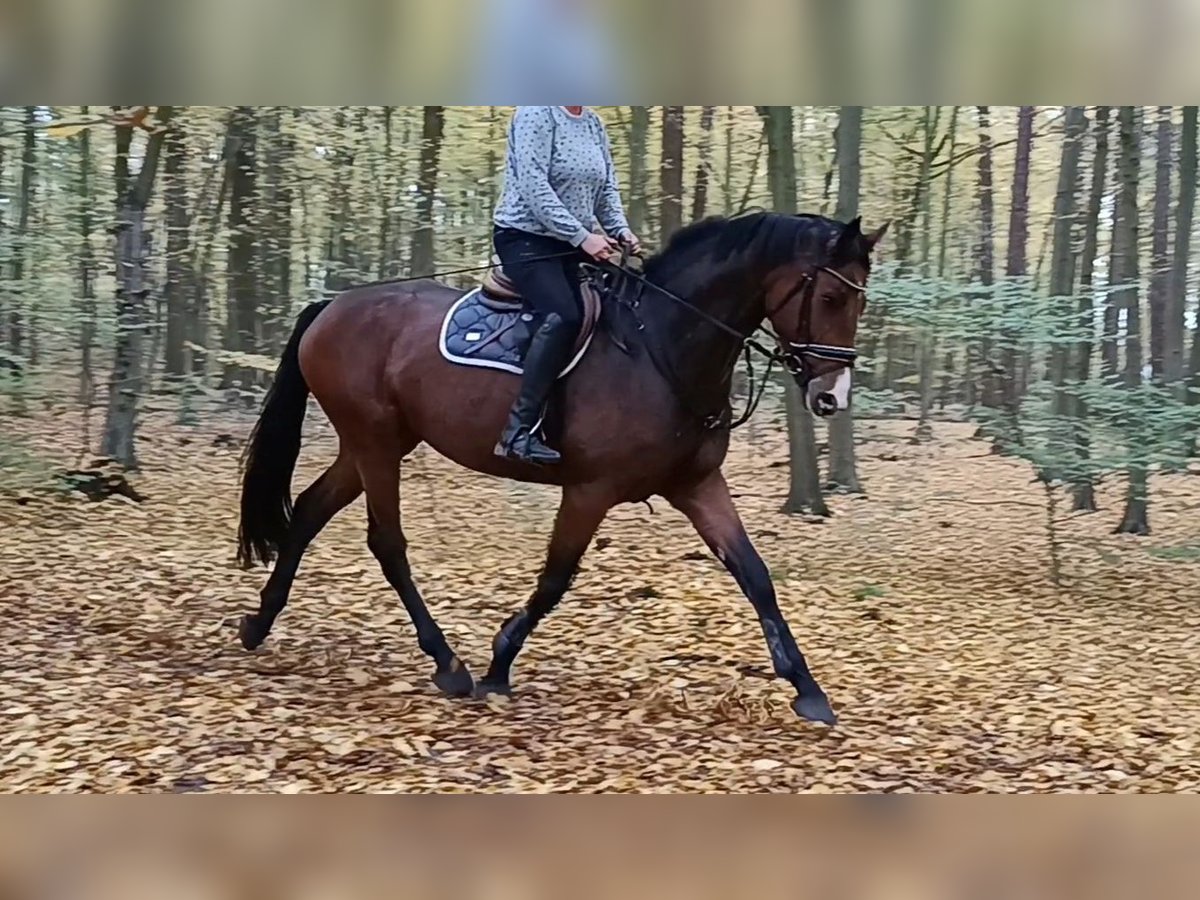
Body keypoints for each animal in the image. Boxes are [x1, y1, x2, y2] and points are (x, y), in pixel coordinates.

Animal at [238, 214, 888, 729]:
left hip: (372, 445)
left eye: (859, 301)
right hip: (374, 444)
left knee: (310, 512)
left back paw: (259, 623)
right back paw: (448, 663)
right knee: (387, 543)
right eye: (831, 299)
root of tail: (333, 306)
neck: (662, 348)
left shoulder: (697, 486)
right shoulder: (589, 491)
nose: (832, 397)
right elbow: (554, 580)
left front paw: (808, 690)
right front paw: (499, 665)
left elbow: (754, 575)